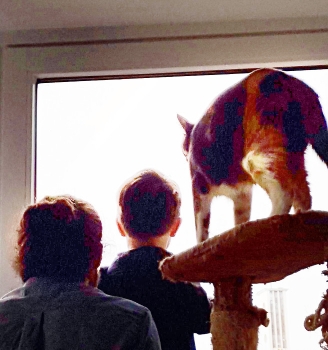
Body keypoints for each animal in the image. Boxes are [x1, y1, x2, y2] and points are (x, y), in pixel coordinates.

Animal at [178, 68, 328, 243]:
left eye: (184, 148)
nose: (184, 153)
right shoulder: (242, 194)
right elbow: (240, 219)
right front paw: (237, 233)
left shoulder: (198, 186)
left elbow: (201, 228)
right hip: (294, 160)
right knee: (304, 197)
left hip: (259, 157)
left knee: (285, 194)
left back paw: (269, 222)